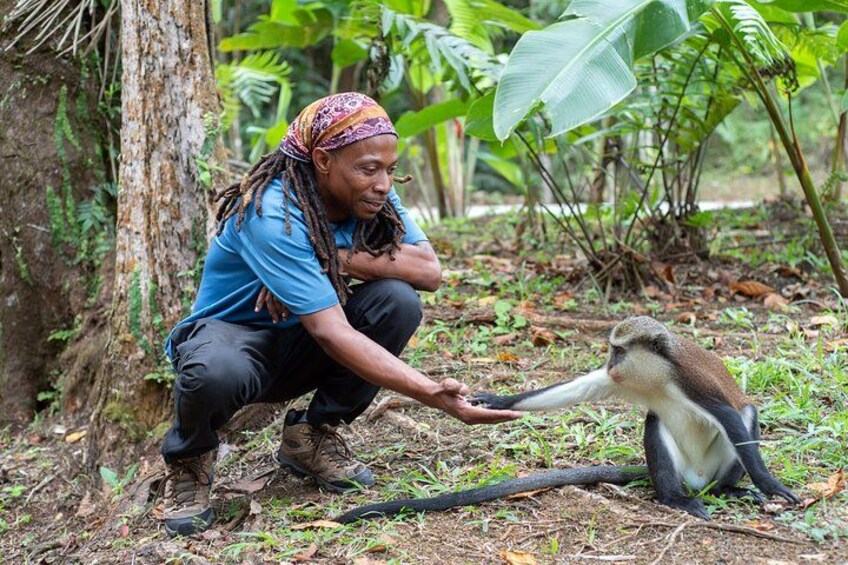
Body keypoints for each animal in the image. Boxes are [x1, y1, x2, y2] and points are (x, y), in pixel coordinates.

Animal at [335, 316, 798, 524]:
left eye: (620, 351)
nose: (611, 364)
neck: (657, 376)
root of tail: (697, 479)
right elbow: (579, 389)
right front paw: (496, 400)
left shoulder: (690, 381)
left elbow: (732, 416)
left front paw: (769, 483)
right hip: (681, 468)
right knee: (655, 422)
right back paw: (674, 498)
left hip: (710, 468)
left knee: (744, 418)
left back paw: (726, 490)